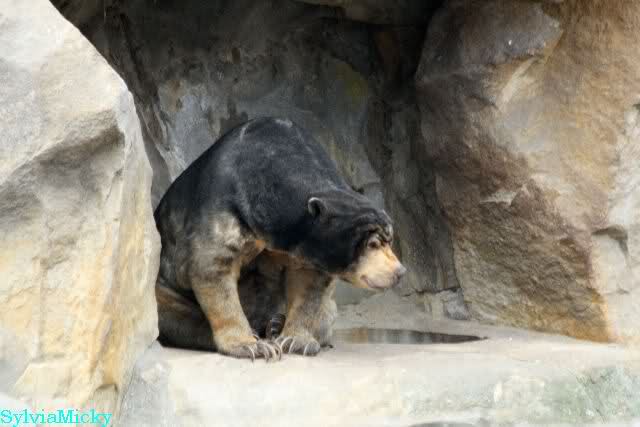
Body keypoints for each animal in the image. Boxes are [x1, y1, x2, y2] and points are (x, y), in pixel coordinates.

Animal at [154, 117, 406, 360]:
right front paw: (250, 346)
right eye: (372, 244)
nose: (400, 272)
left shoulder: (306, 246)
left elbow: (309, 284)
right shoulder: (221, 204)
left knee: (326, 312)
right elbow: (212, 265)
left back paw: (276, 324)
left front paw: (296, 341)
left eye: (390, 240)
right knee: (168, 311)